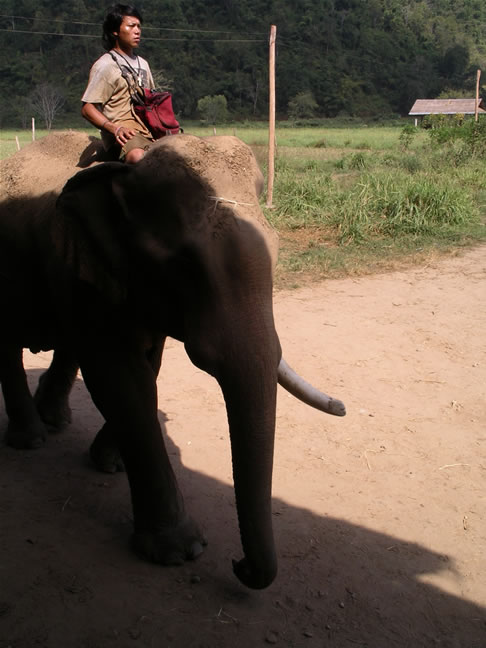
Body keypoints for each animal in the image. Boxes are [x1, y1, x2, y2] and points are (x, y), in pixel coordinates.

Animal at [0, 134, 345, 589]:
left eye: (276, 251)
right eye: (182, 265)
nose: (239, 565)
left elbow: (150, 367)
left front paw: (110, 463)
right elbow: (121, 380)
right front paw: (180, 551)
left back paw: (54, 422)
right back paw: (32, 439)